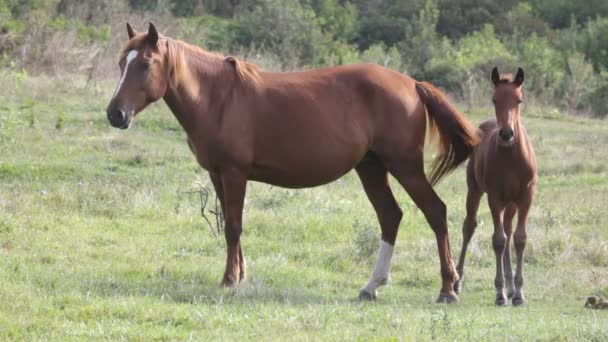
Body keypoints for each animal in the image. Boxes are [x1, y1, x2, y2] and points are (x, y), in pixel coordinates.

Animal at [105, 23, 480, 302]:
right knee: (391, 217)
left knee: (435, 212)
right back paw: (371, 287)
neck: (219, 98)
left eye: (145, 65)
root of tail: (412, 84)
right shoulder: (217, 175)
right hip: (371, 167)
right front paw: (240, 274)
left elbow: (233, 226)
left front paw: (229, 279)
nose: (115, 114)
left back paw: (448, 288)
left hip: (405, 167)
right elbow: (229, 223)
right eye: (122, 63)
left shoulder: (234, 174)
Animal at [456, 67, 536, 304]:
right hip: (475, 190)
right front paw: (499, 293)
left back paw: (511, 287)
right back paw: (457, 282)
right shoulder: (494, 197)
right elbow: (498, 240)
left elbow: (519, 239)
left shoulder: (526, 197)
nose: (507, 134)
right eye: (494, 99)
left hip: (511, 203)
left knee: (508, 229)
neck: (511, 157)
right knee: (469, 226)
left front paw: (518, 292)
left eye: (519, 100)